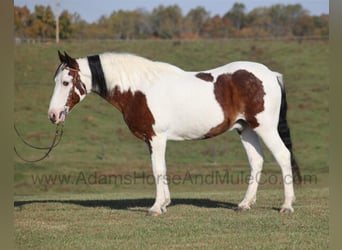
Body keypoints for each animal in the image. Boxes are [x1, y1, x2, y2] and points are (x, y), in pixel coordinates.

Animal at [48, 50, 302, 215]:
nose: (53, 115)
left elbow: (158, 169)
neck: (139, 89)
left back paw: (286, 205)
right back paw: (244, 204)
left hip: (265, 127)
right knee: (256, 161)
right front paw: (164, 203)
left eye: (66, 82)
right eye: (56, 80)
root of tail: (271, 74)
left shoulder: (156, 137)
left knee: (282, 156)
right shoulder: (152, 140)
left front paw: (155, 207)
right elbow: (161, 168)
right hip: (246, 129)